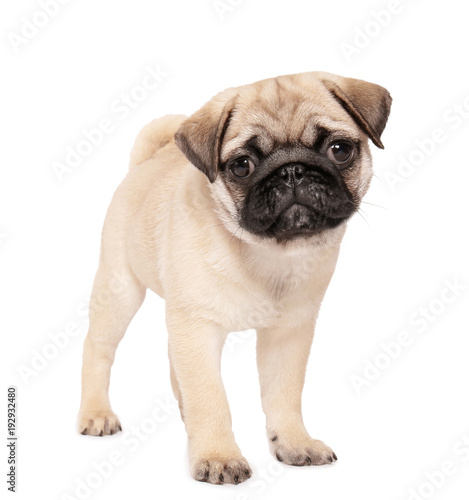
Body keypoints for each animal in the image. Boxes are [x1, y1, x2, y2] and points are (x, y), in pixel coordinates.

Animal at [78, 70, 390, 484]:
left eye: (340, 150)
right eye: (242, 165)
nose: (292, 170)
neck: (266, 253)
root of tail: (144, 163)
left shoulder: (288, 335)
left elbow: (284, 395)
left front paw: (294, 443)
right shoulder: (197, 330)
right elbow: (210, 398)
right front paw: (218, 456)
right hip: (121, 291)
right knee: (98, 349)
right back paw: (96, 413)